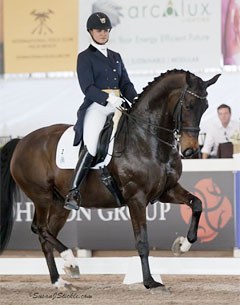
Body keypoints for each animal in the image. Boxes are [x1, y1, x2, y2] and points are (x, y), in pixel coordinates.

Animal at [0, 69, 220, 290]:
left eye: (205, 107)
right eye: (189, 105)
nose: (191, 151)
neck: (146, 139)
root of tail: (22, 141)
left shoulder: (167, 190)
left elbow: (197, 204)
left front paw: (183, 245)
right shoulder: (136, 198)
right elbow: (142, 241)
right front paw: (149, 282)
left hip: (59, 203)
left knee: (46, 235)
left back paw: (61, 279)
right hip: (41, 196)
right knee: (40, 228)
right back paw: (71, 262)